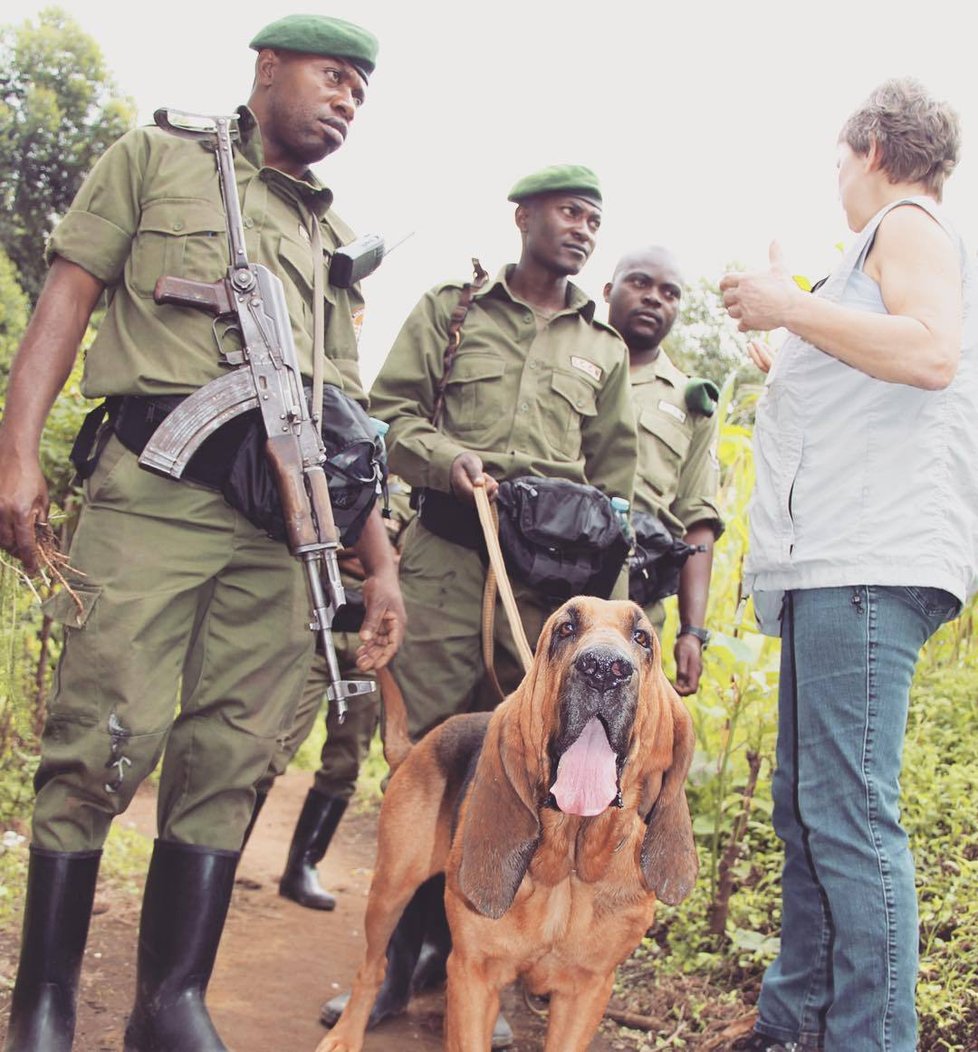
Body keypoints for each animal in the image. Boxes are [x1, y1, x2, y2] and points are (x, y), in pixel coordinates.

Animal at [315, 597, 698, 1047]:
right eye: (565, 629)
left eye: (642, 638)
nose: (604, 668)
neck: (567, 867)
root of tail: (417, 745)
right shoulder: (473, 973)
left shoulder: (587, 990)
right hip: (390, 888)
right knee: (373, 967)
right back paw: (347, 1032)